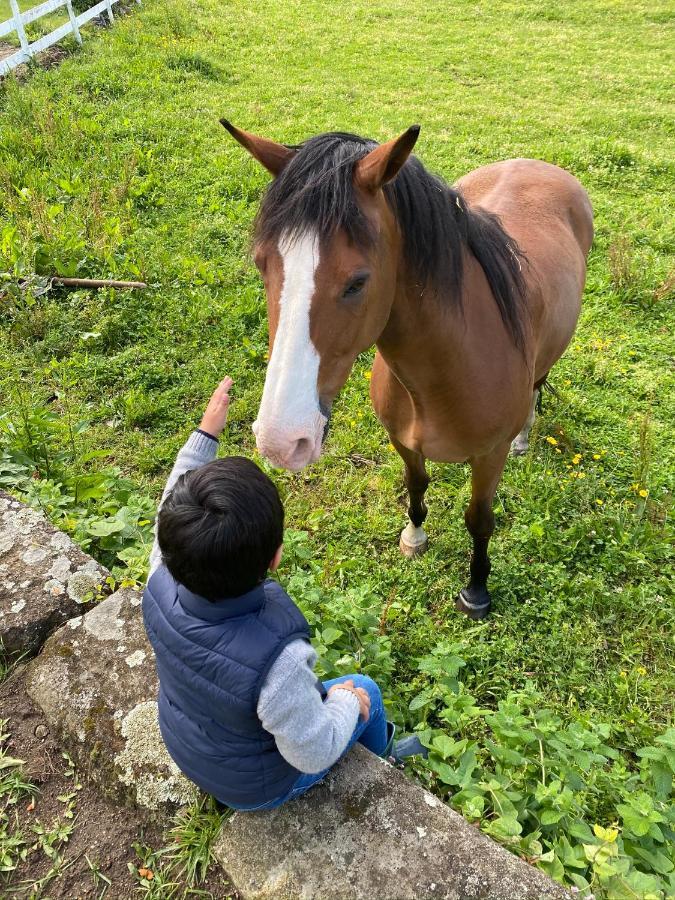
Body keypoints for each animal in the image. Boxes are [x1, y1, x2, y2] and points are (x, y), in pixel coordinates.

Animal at [220, 121, 592, 620]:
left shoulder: (488, 458)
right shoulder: (403, 440)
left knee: (538, 384)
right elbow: (417, 483)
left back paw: (525, 437)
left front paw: (476, 591)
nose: (281, 441)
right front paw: (415, 536)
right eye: (263, 264)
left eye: (357, 282)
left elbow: (479, 520)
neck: (446, 372)